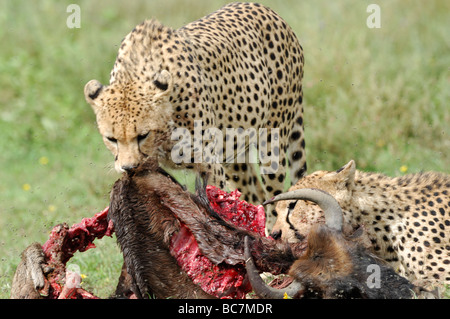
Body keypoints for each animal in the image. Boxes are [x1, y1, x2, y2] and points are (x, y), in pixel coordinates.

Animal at [85, 3, 308, 232]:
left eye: (142, 135)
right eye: (111, 139)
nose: (129, 167)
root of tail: (263, 8)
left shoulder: (210, 166)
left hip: (271, 143)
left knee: (275, 198)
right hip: (235, 151)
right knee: (255, 196)